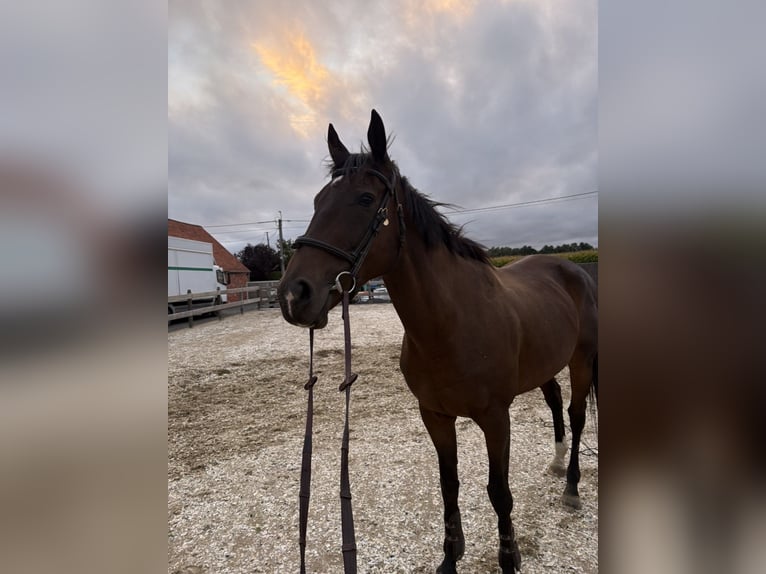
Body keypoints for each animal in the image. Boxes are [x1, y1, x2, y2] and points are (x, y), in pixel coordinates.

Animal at [278, 110, 598, 574]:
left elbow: (499, 493)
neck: (451, 325)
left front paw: (509, 558)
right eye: (319, 201)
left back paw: (571, 487)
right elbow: (449, 485)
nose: (293, 295)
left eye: (365, 199)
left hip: (581, 359)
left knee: (575, 415)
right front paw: (450, 556)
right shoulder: (435, 416)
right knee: (555, 401)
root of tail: (574, 269)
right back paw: (556, 463)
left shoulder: (496, 418)